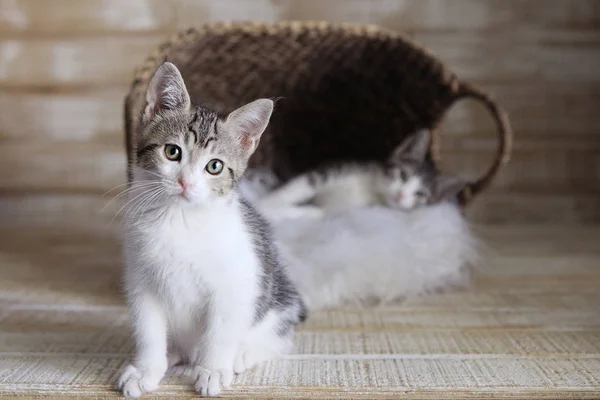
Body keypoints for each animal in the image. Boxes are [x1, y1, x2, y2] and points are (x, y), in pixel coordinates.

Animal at [118, 61, 304, 396]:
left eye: (214, 166)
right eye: (172, 152)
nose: (185, 182)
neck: (178, 219)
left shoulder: (233, 283)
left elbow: (220, 332)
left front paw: (214, 370)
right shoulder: (141, 281)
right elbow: (148, 331)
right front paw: (146, 370)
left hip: (280, 299)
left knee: (280, 337)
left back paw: (242, 354)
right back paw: (173, 354)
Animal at [256, 130, 464, 219]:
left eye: (420, 194)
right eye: (403, 175)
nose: (400, 195)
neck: (373, 191)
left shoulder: (342, 210)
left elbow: (317, 212)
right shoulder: (333, 170)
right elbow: (298, 187)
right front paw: (265, 204)